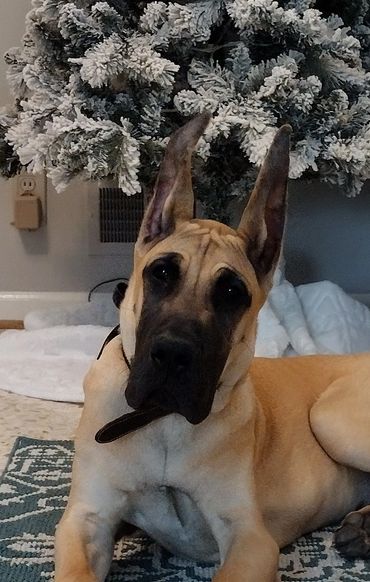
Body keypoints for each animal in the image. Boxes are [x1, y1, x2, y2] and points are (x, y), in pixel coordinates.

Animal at [53, 115, 370, 582]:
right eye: (161, 273)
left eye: (232, 293)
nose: (173, 356)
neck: (163, 422)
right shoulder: (86, 519)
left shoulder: (250, 538)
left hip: (332, 417)